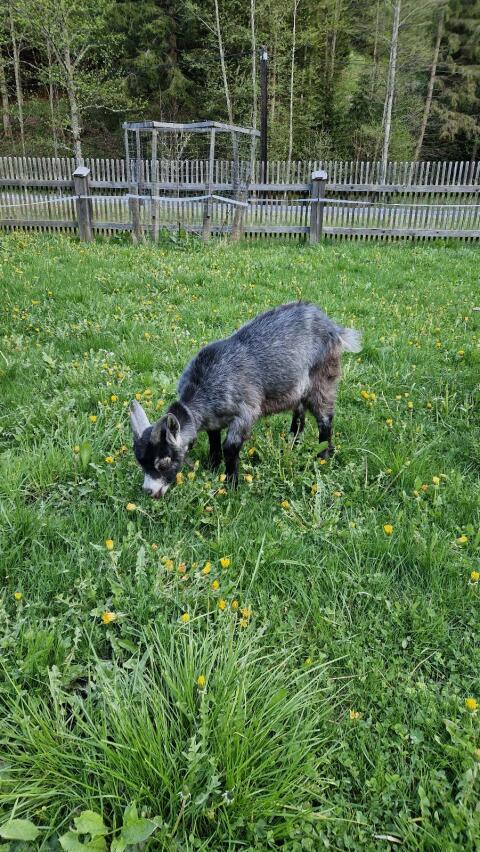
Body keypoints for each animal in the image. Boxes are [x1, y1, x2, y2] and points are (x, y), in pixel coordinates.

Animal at [130, 302, 361, 497]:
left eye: (164, 463)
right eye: (141, 462)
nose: (149, 491)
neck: (205, 384)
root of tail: (334, 328)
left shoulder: (246, 412)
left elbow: (230, 446)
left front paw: (231, 484)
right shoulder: (213, 418)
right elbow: (214, 438)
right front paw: (213, 466)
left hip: (323, 377)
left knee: (325, 417)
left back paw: (322, 457)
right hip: (296, 387)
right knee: (299, 411)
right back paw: (292, 442)